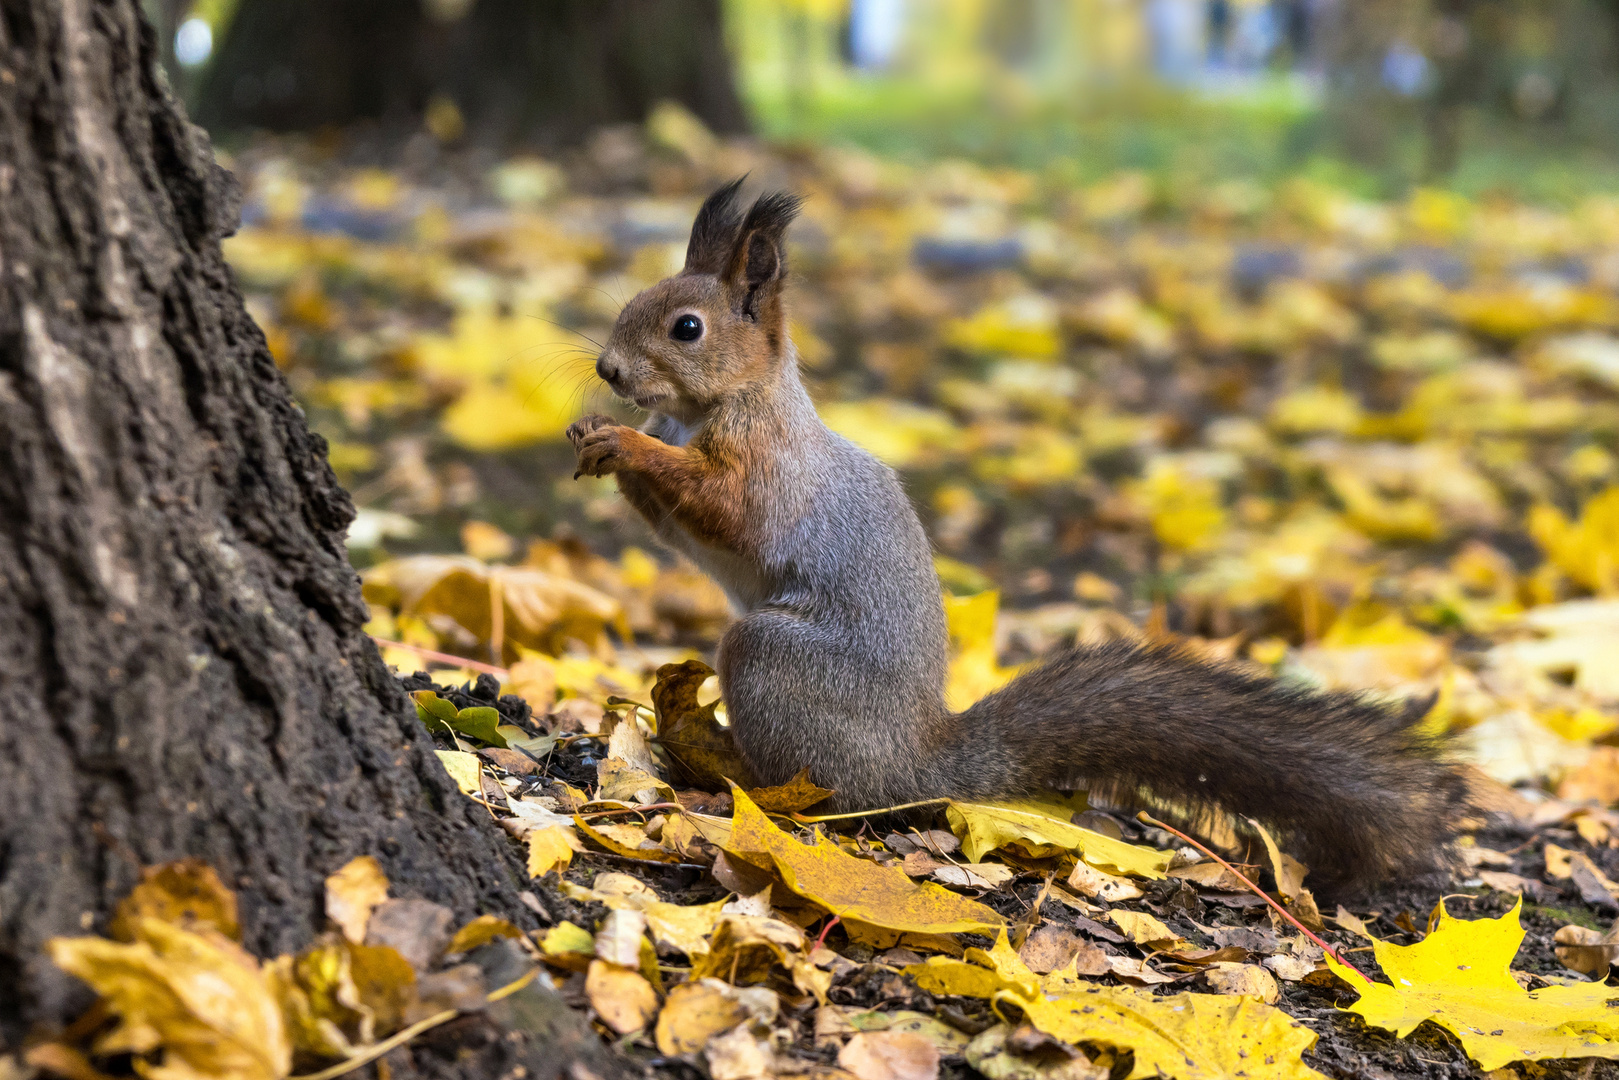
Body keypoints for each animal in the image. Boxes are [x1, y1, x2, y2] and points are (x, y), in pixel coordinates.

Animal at [569, 179, 1470, 887]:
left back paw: (733, 771)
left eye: (687, 327)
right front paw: (594, 438)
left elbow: (724, 508)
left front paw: (627, 443)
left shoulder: (766, 471)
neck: (716, 407)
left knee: (828, 793)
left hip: (773, 661)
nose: (608, 370)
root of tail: (920, 760)